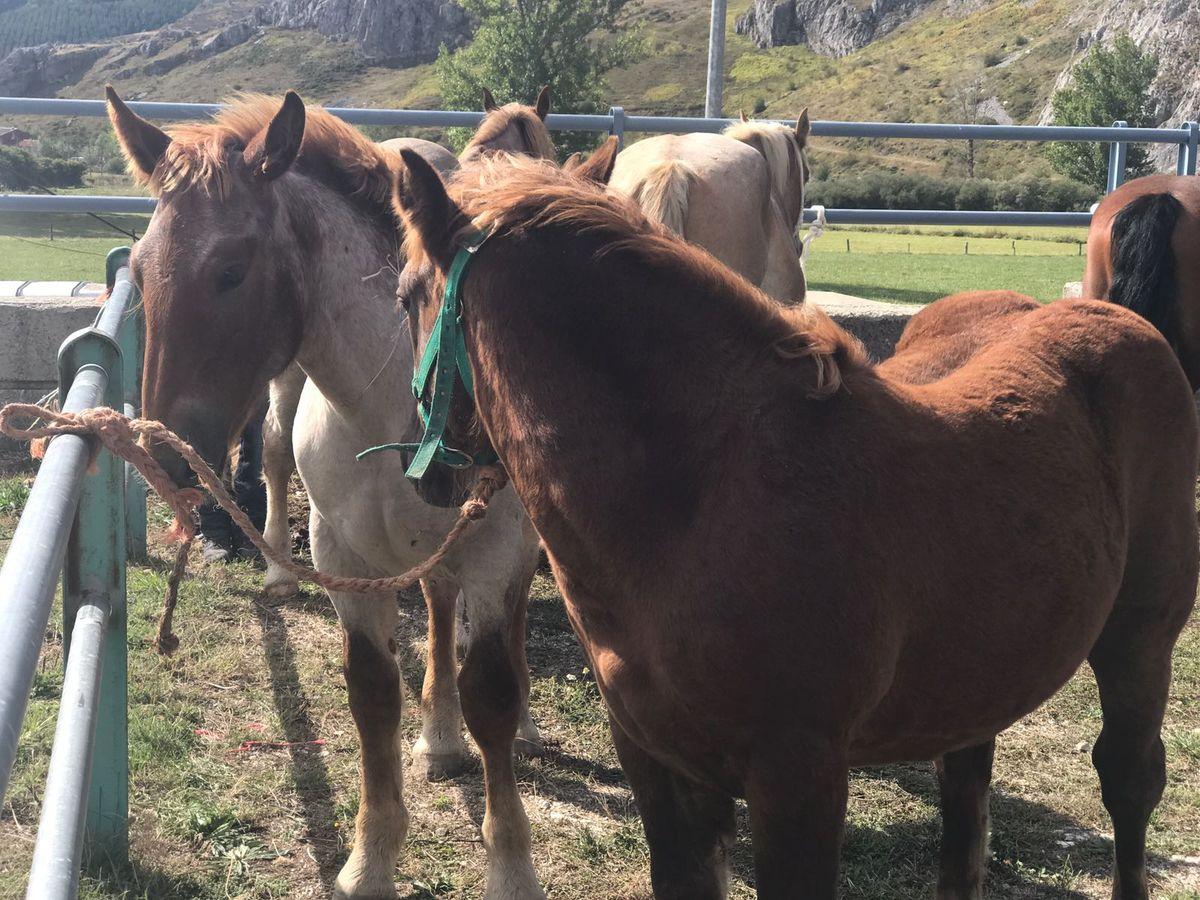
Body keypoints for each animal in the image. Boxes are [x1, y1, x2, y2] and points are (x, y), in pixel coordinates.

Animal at [106, 86, 549, 900]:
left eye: (232, 269)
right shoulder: (346, 555)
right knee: (439, 612)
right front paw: (369, 863)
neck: (394, 408)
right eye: (143, 271)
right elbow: (372, 696)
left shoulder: (497, 551)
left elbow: (494, 698)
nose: (163, 455)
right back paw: (439, 739)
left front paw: (511, 869)